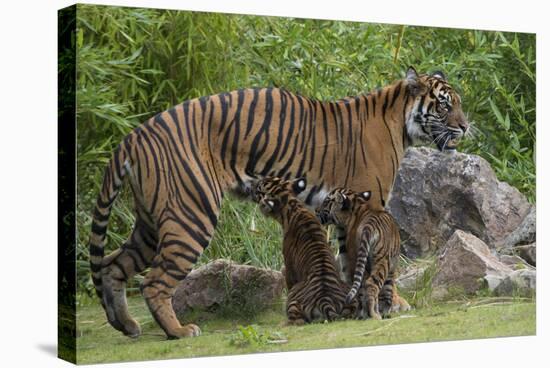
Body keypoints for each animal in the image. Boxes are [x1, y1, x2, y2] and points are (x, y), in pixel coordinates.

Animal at [89, 67, 470, 340]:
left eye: (459, 103)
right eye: (445, 104)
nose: (466, 127)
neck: (400, 121)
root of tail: (134, 135)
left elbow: (351, 262)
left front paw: (355, 301)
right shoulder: (369, 202)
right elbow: (375, 263)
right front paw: (390, 304)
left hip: (152, 222)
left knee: (112, 265)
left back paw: (126, 326)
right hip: (190, 214)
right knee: (153, 282)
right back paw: (179, 331)